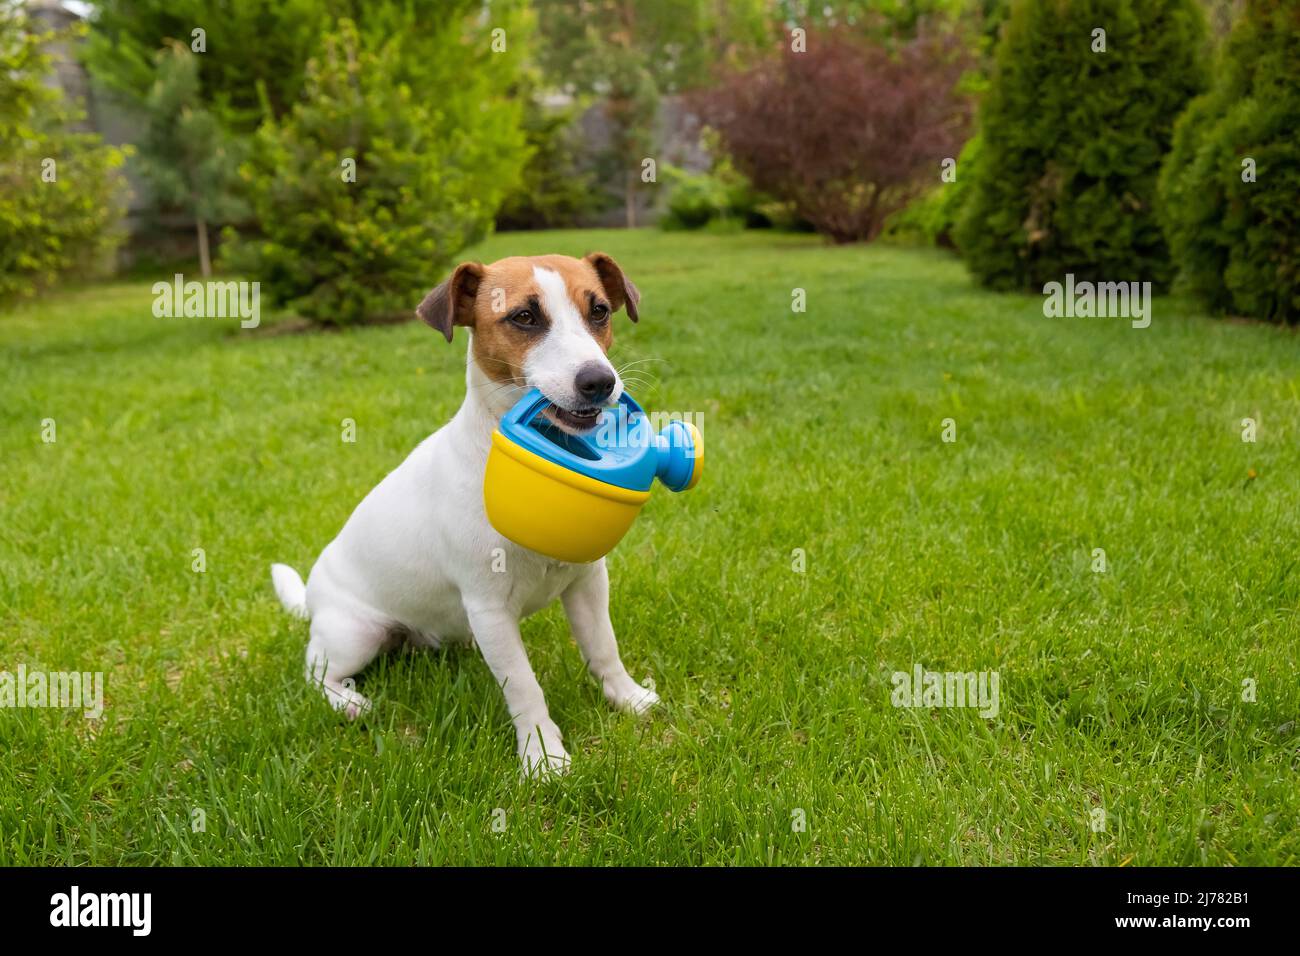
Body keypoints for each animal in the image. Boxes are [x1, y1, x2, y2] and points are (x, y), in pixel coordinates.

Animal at [271, 254, 660, 780]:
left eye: (599, 311)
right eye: (524, 317)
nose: (599, 382)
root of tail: (312, 598)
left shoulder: (587, 582)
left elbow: (603, 648)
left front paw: (628, 699)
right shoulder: (489, 606)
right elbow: (524, 686)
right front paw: (544, 757)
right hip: (356, 633)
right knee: (315, 671)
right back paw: (349, 703)